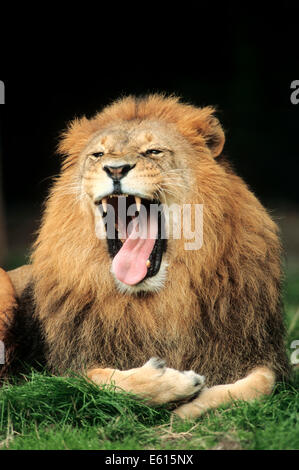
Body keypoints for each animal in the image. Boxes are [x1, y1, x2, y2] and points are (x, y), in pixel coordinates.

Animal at [0, 93, 290, 416]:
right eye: (98, 155)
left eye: (153, 151)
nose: (115, 169)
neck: (158, 300)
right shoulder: (54, 369)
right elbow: (94, 380)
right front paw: (174, 384)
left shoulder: (263, 353)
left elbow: (263, 383)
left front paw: (188, 410)